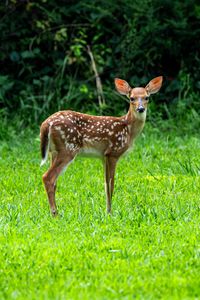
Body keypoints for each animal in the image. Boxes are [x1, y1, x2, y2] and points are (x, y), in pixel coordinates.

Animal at [40, 75, 162, 216]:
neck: (129, 130)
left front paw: (107, 211)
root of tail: (46, 123)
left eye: (147, 97)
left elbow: (105, 183)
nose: (141, 109)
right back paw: (55, 214)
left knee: (54, 181)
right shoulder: (113, 152)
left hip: (53, 151)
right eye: (132, 98)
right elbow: (111, 183)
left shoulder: (103, 156)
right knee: (48, 177)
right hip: (68, 149)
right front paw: (110, 213)